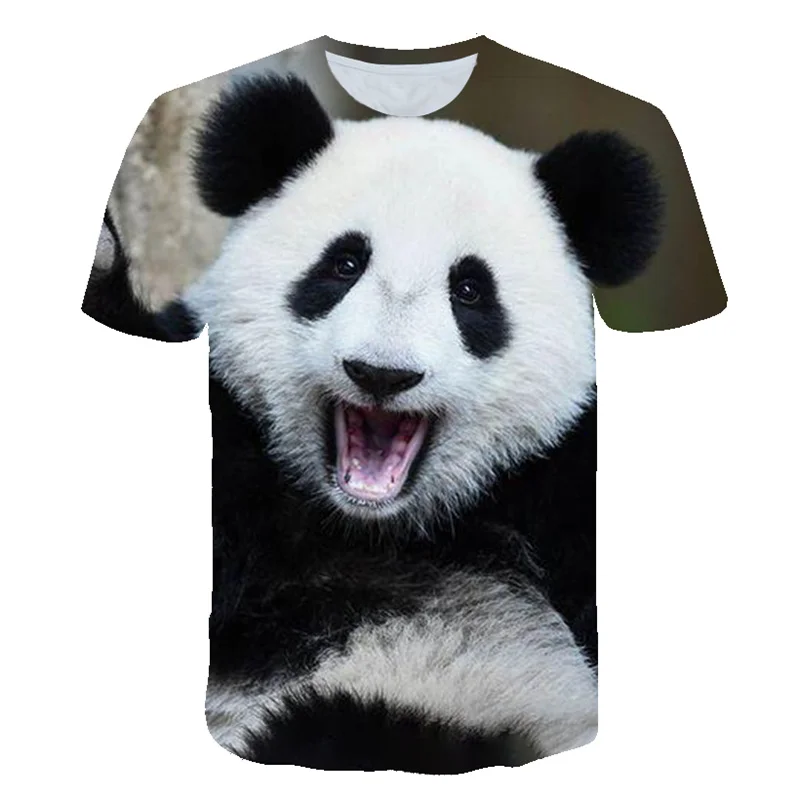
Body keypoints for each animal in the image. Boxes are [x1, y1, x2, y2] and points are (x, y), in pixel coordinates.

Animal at [84, 74, 662, 773]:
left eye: (470, 290)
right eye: (344, 265)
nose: (382, 374)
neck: (380, 529)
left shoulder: (564, 483)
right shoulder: (237, 448)